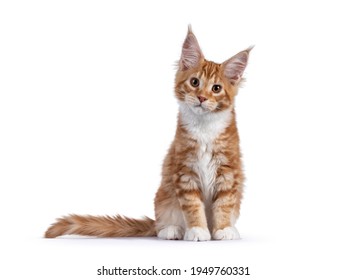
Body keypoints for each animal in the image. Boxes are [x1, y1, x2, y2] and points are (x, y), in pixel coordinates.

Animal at [45, 26, 253, 241]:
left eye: (216, 88)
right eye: (195, 82)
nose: (202, 98)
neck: (204, 127)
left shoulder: (228, 171)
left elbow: (224, 204)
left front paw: (223, 229)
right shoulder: (184, 171)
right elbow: (193, 206)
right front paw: (197, 230)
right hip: (164, 198)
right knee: (162, 225)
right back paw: (173, 230)